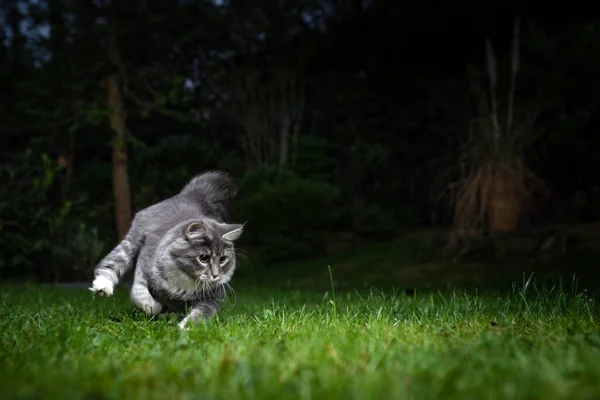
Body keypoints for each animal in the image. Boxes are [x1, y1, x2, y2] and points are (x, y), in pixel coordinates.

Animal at [88, 170, 243, 330]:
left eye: (223, 259)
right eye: (204, 258)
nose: (215, 275)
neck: (187, 278)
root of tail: (191, 195)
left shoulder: (213, 297)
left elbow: (199, 315)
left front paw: (184, 328)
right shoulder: (143, 271)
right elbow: (140, 296)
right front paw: (155, 308)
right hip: (131, 242)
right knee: (109, 263)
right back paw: (102, 287)